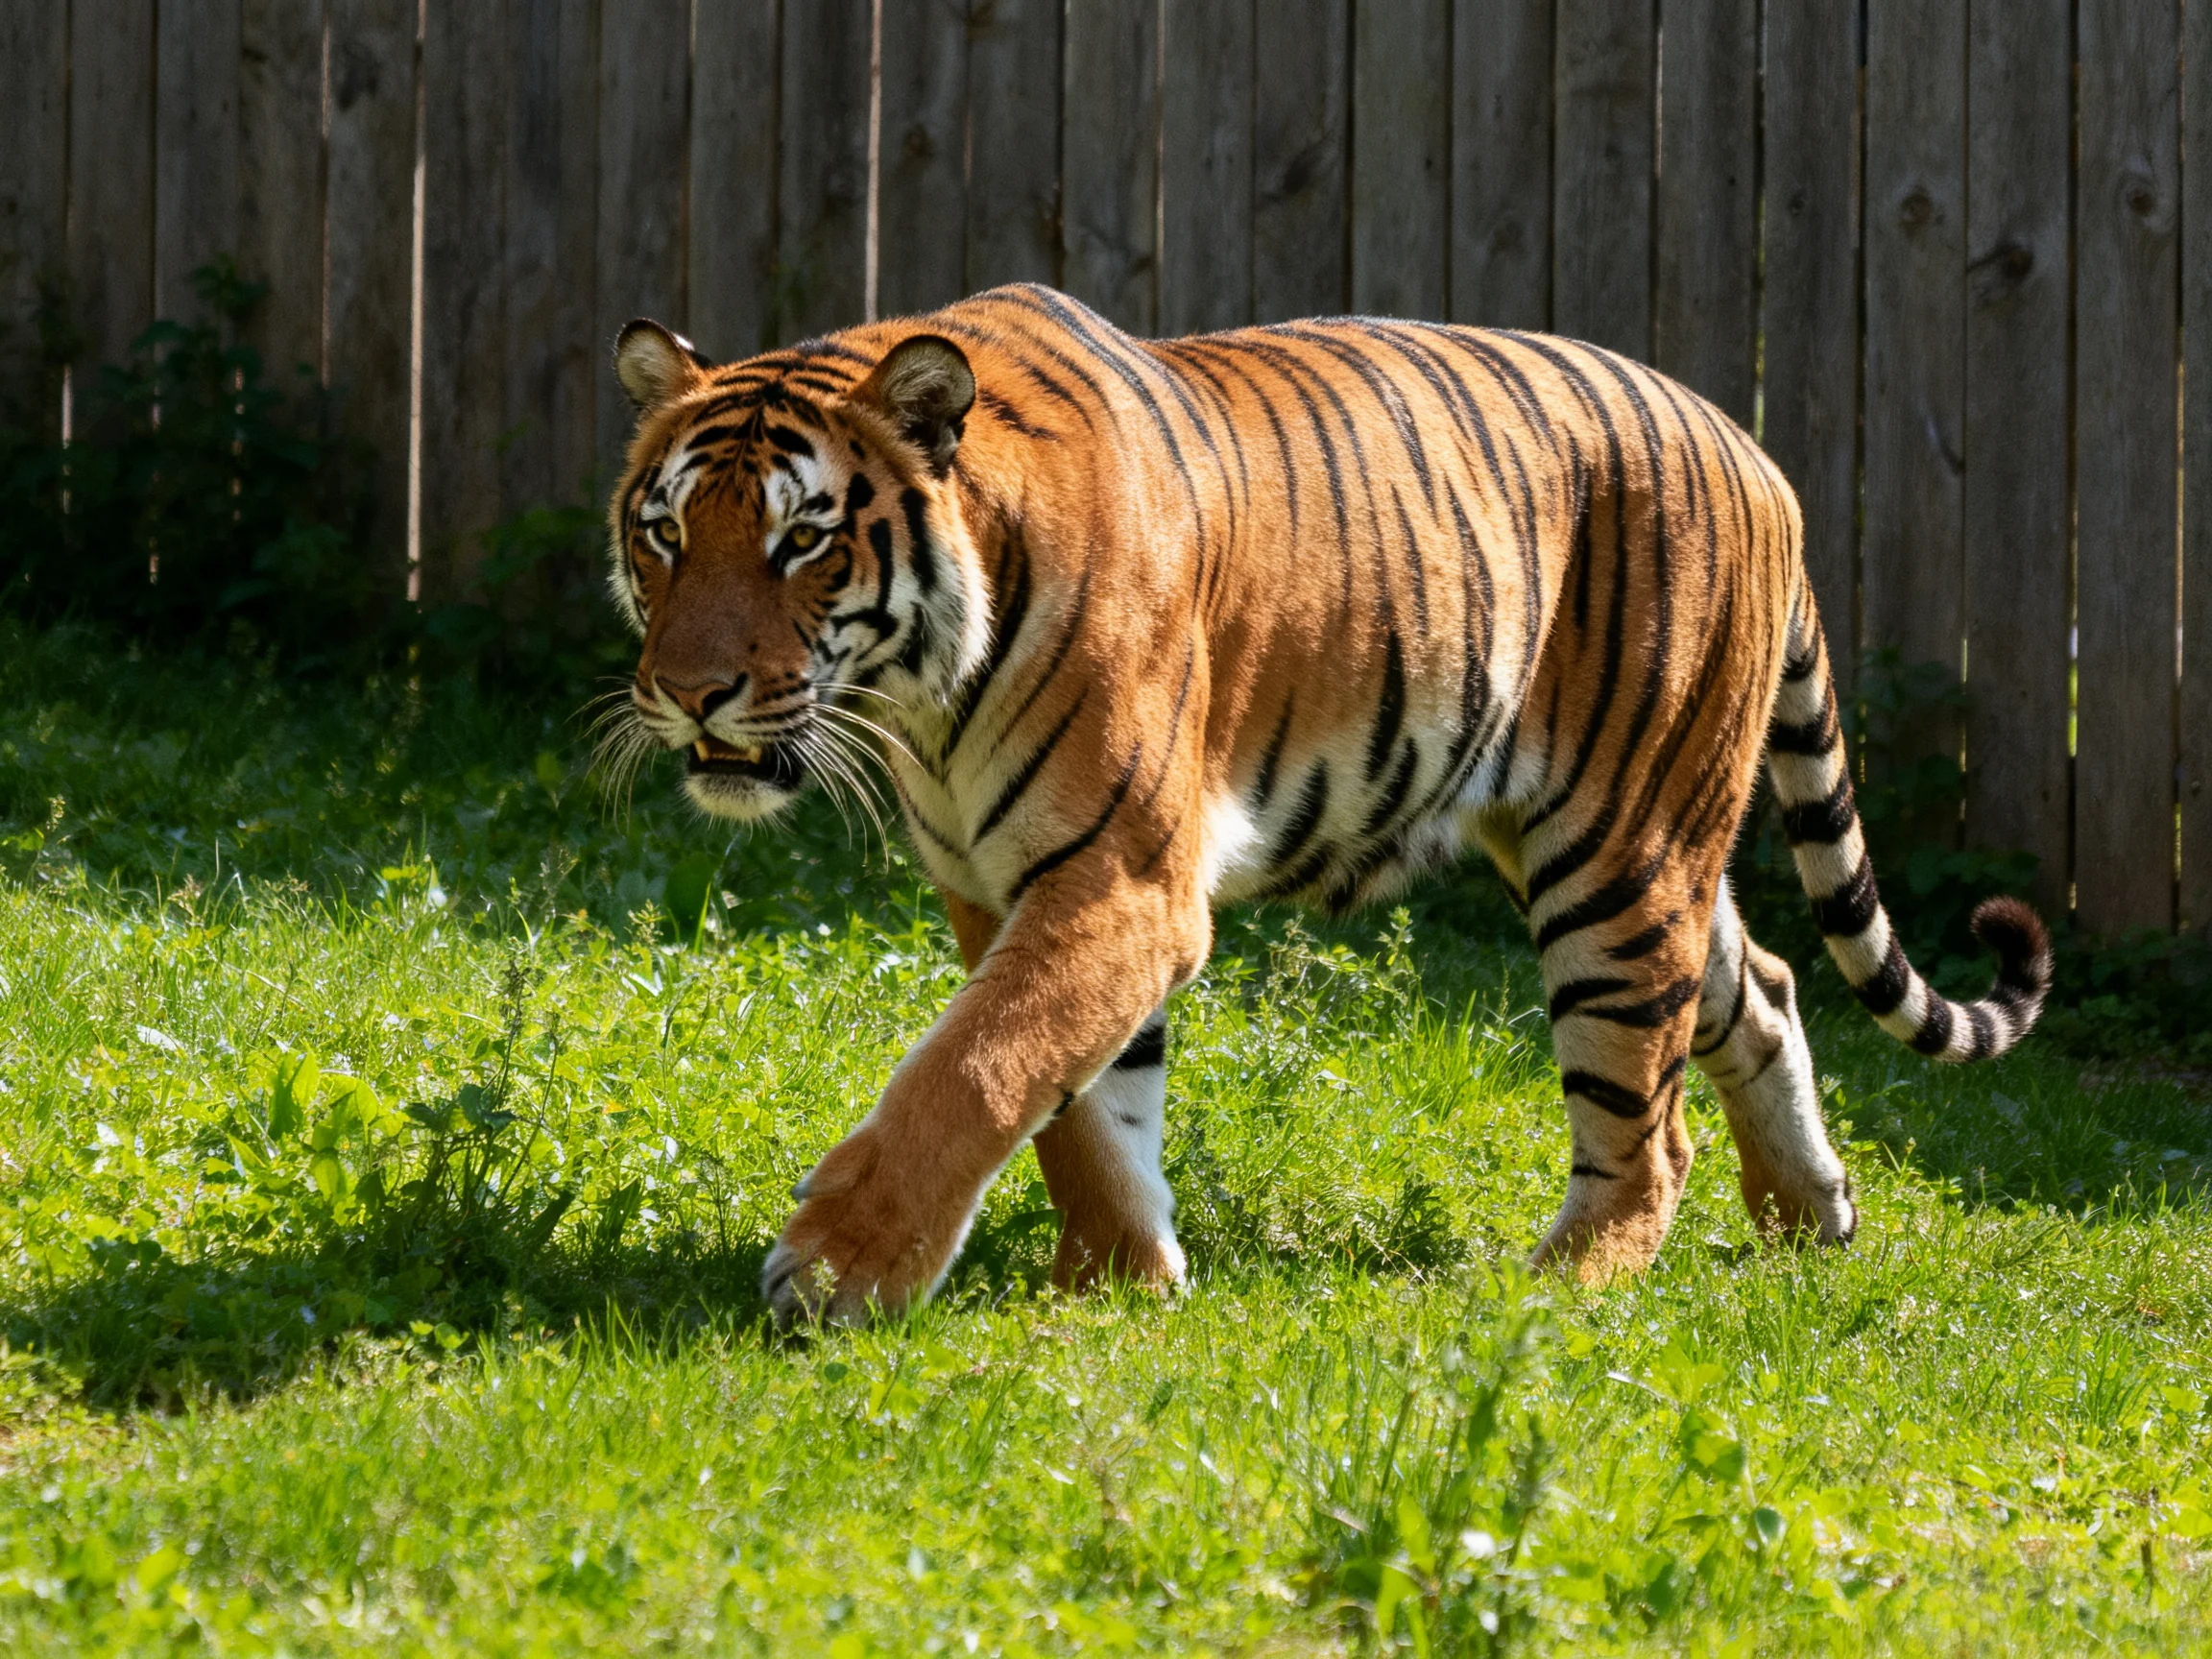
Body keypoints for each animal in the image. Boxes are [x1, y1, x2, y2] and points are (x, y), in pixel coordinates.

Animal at [604, 282, 2052, 1326]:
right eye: (664, 533)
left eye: (802, 538)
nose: (688, 693)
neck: (921, 698)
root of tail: (1756, 452)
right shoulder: (1001, 885)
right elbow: (1079, 1106)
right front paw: (1120, 1280)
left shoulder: (1122, 883)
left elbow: (976, 1068)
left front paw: (838, 1271)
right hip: (1622, 841)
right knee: (1764, 986)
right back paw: (1814, 1216)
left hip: (1617, 860)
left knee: (1646, 1132)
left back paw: (1556, 1290)